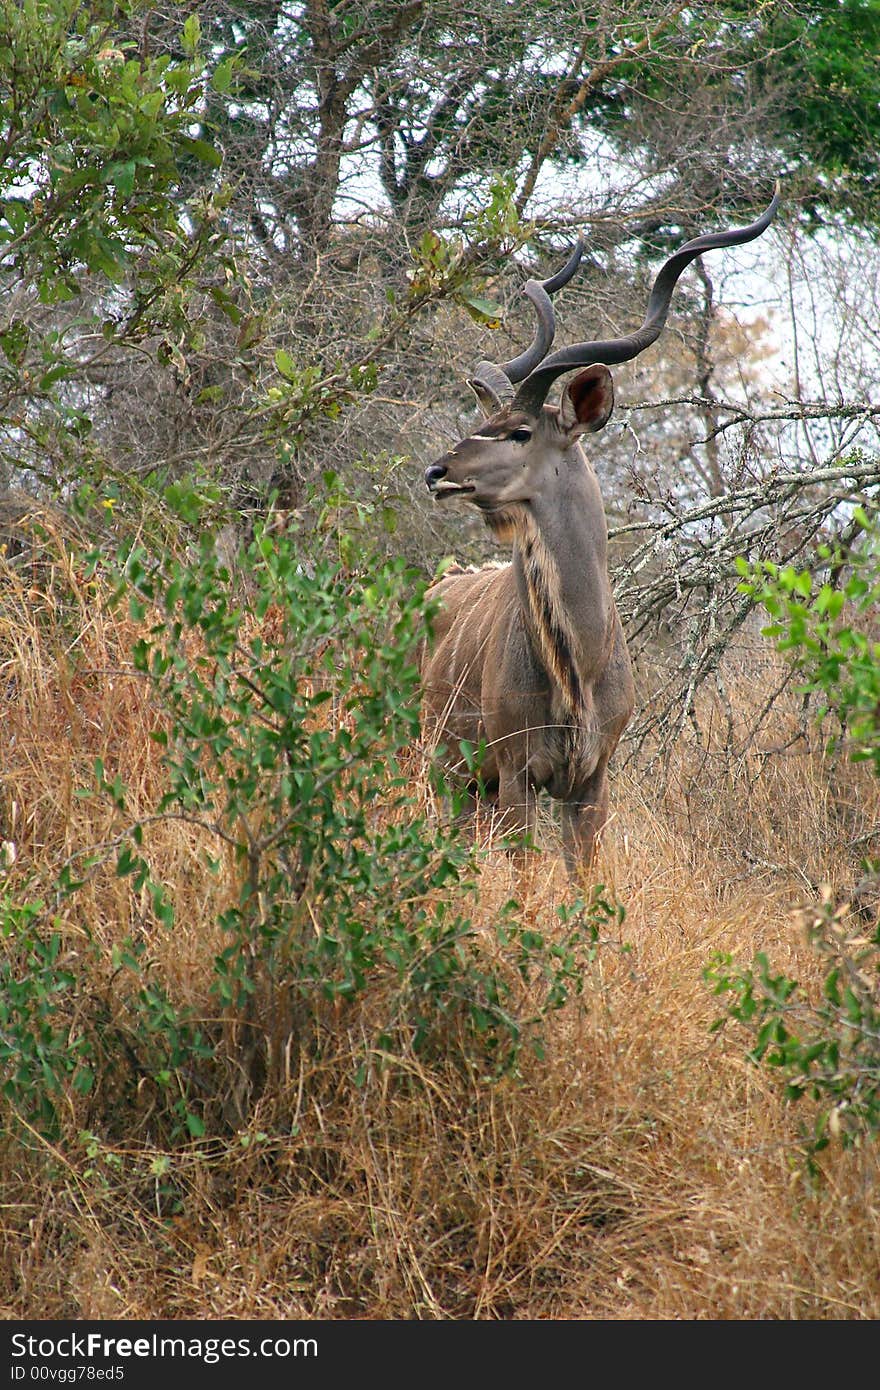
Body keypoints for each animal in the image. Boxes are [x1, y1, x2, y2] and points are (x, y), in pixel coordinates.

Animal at [419, 190, 772, 872]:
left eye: (519, 431)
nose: (437, 472)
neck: (578, 662)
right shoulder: (518, 773)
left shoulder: (590, 781)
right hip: (441, 767)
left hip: (472, 786)